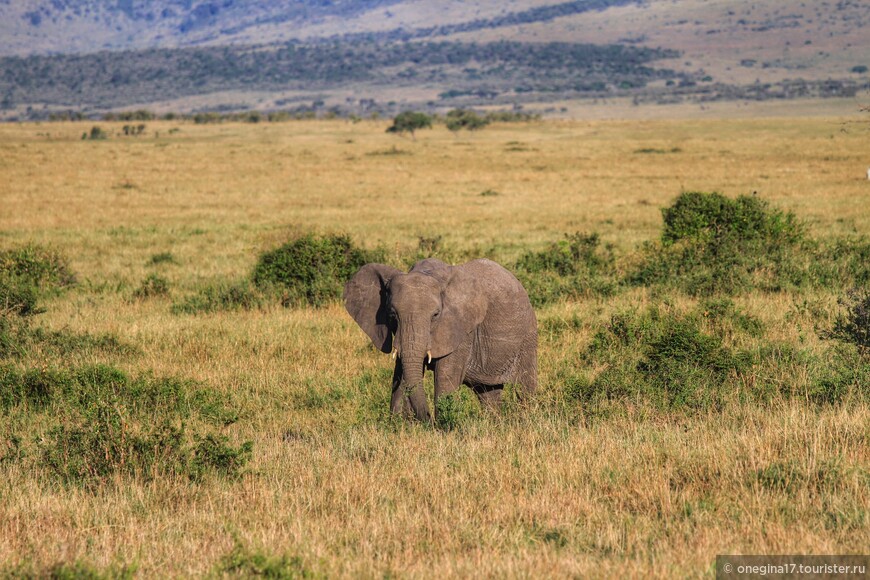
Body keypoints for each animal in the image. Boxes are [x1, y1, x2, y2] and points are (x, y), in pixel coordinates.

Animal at [342, 258, 536, 422]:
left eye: (435, 315)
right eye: (392, 315)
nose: (428, 420)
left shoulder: (461, 330)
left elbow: (445, 378)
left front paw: (443, 427)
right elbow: (401, 373)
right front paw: (398, 424)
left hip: (528, 336)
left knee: (524, 387)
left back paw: (526, 419)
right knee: (488, 392)